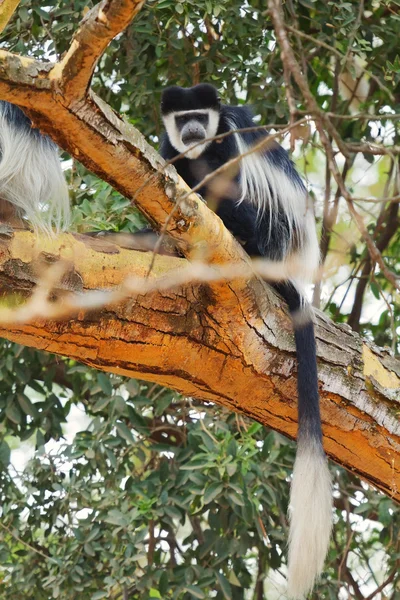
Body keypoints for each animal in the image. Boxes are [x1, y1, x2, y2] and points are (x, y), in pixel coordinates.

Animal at [159, 85, 332, 600]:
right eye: (184, 118)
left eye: (201, 114)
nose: (194, 130)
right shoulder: (169, 146)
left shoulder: (228, 144)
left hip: (271, 230)